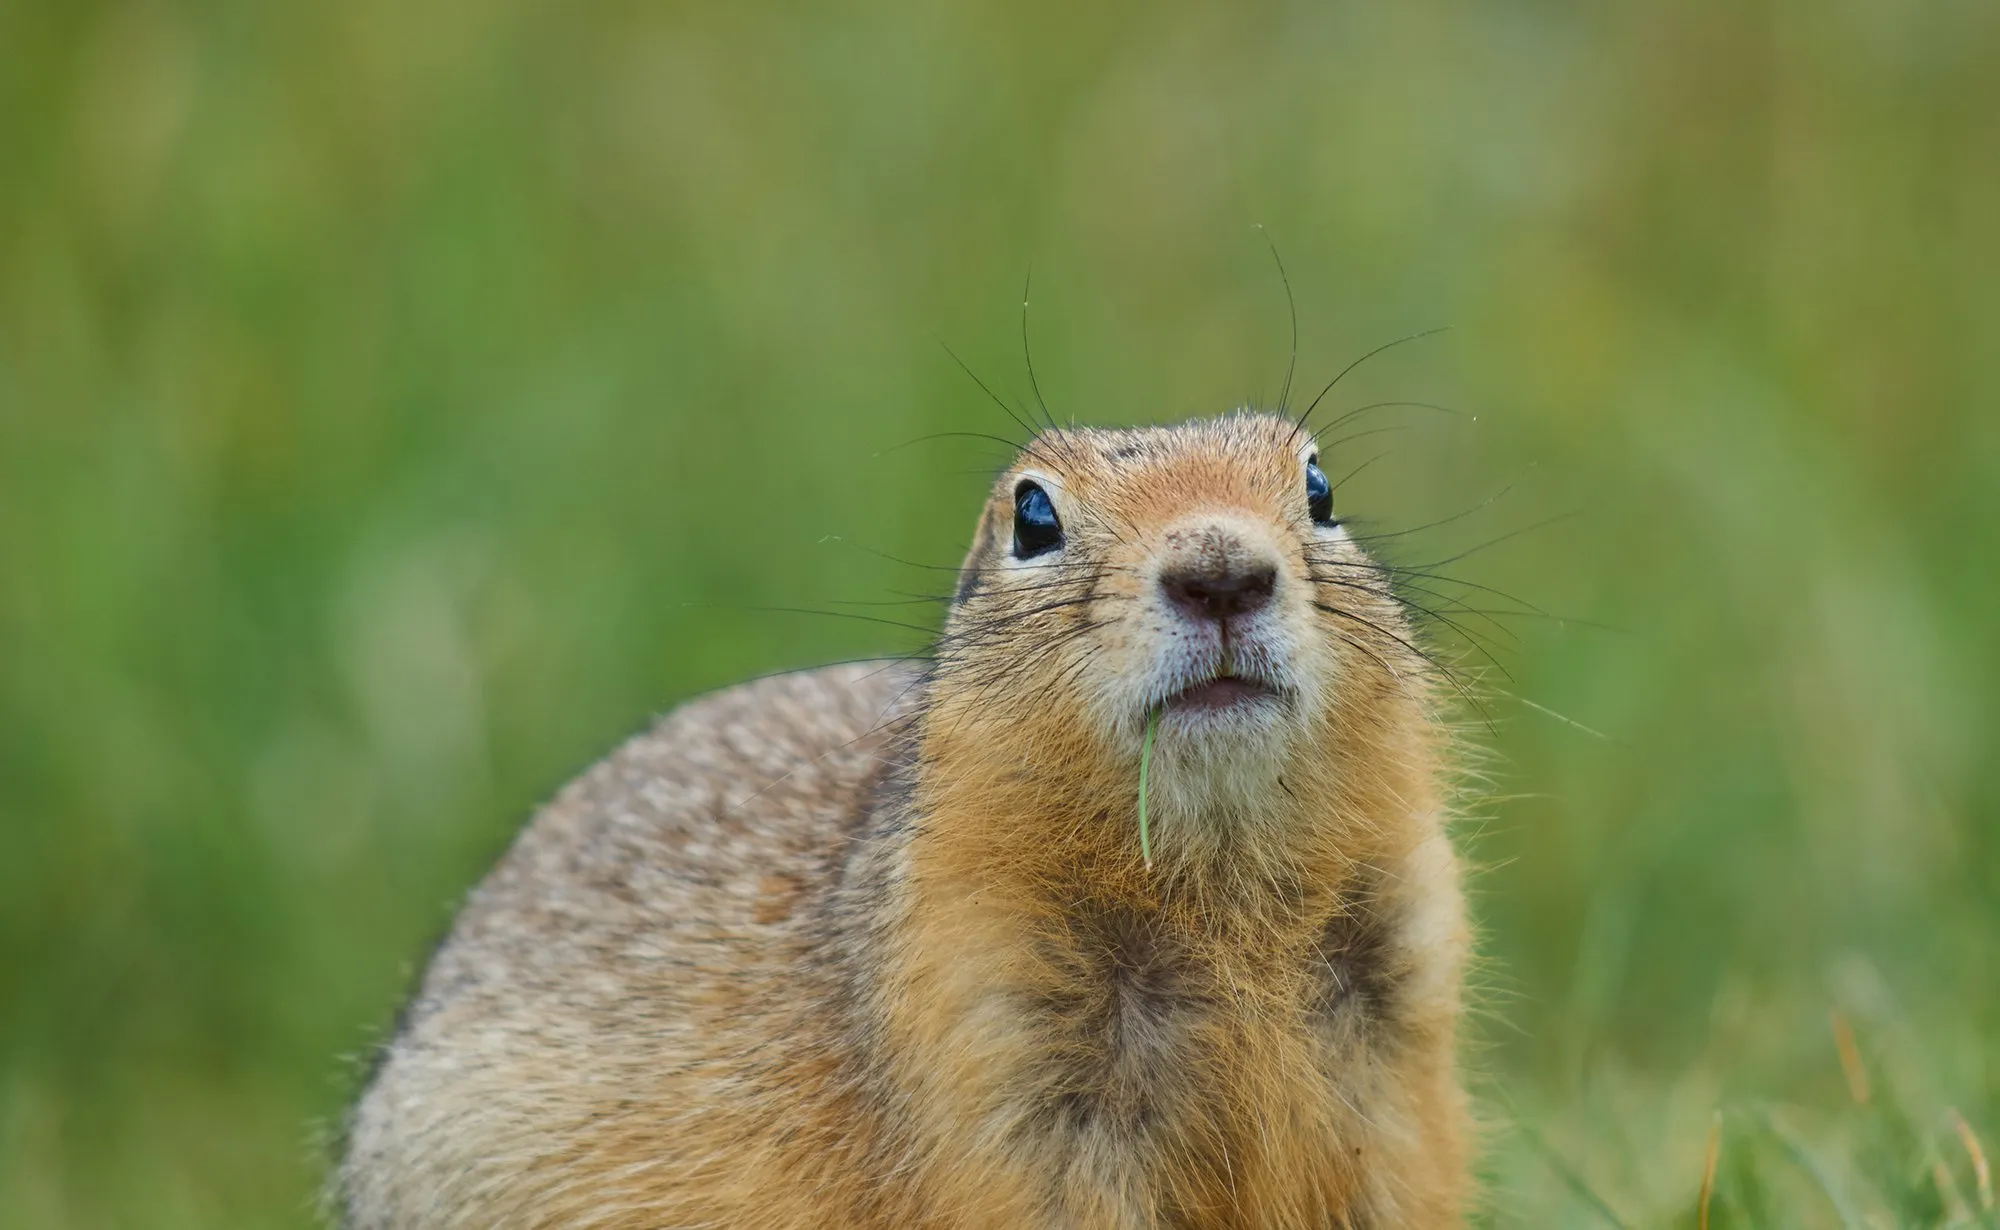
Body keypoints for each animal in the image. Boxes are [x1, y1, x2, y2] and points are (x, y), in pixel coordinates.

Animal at [340, 414, 1472, 1230]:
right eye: (1032, 518)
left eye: (1319, 490)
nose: (1222, 571)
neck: (1219, 888)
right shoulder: (996, 1037)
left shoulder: (1394, 1039)